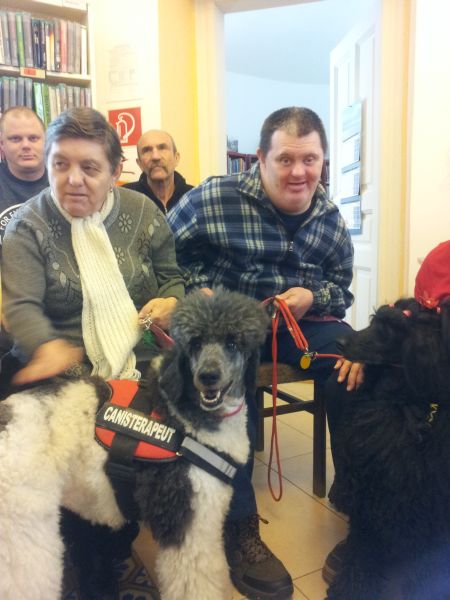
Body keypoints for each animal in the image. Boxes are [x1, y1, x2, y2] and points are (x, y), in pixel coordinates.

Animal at [0, 289, 269, 600]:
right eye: (196, 343)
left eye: (233, 342)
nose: (208, 376)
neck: (182, 413)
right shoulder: (187, 527)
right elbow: (198, 585)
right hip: (26, 544)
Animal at [326, 298, 450, 600]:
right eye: (374, 320)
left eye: (391, 326)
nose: (340, 343)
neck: (402, 406)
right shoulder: (369, 499)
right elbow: (360, 554)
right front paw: (349, 590)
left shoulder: (431, 513)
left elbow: (426, 572)